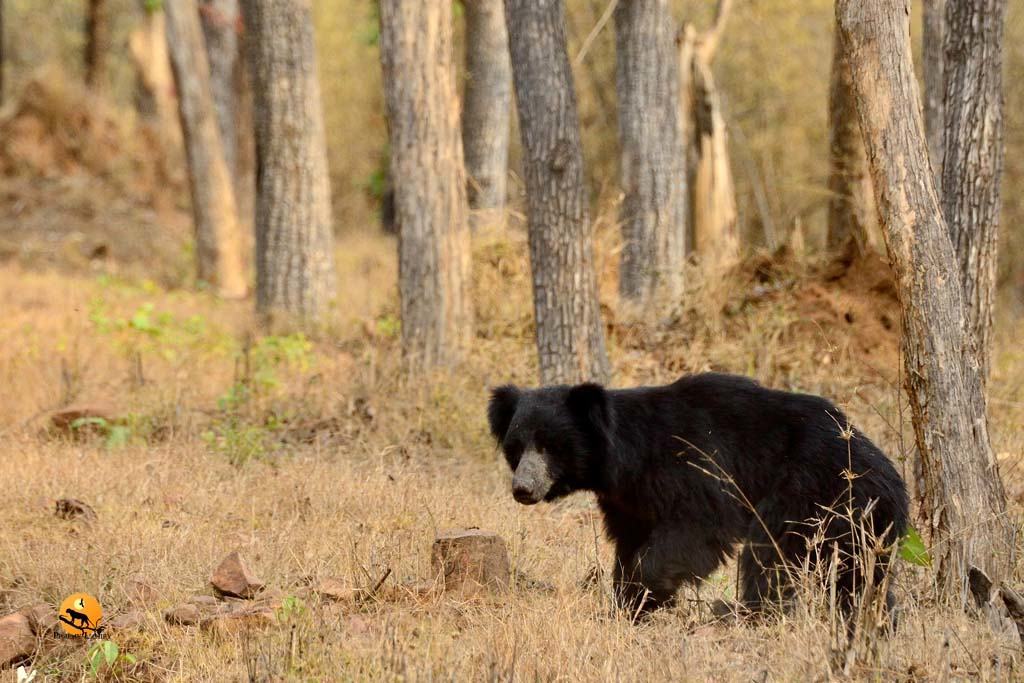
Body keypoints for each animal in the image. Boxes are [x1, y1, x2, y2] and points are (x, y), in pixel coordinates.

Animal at [489, 374, 913, 618]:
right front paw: (630, 604)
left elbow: (701, 526)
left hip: (813, 491)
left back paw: (743, 611)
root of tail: (893, 480)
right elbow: (629, 543)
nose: (522, 490)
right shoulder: (630, 500)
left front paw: (646, 594)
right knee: (859, 577)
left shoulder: (691, 465)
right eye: (516, 448)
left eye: (549, 446)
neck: (623, 459)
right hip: (858, 520)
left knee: (772, 554)